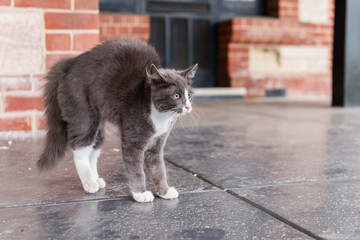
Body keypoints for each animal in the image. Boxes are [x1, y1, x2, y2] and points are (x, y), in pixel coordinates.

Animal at [37, 38, 197, 202]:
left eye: (189, 95)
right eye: (176, 96)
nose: (188, 106)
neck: (160, 115)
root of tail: (70, 63)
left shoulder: (157, 143)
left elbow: (159, 168)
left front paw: (164, 192)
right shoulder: (132, 142)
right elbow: (136, 170)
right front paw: (140, 194)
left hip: (99, 127)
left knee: (93, 151)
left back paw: (96, 179)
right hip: (84, 116)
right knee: (80, 149)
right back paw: (89, 183)